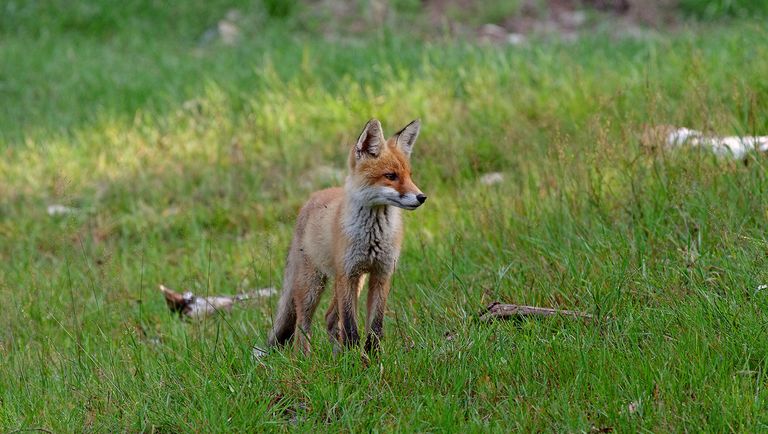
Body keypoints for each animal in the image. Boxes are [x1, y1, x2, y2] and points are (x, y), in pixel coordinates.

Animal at [267, 118, 427, 354]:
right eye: (391, 176)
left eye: (410, 175)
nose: (422, 197)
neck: (373, 236)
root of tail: (311, 199)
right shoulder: (348, 274)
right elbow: (351, 327)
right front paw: (354, 358)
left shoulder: (381, 273)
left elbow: (375, 327)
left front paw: (372, 357)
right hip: (313, 284)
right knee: (302, 325)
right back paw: (304, 358)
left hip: (354, 281)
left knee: (330, 318)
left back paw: (336, 355)